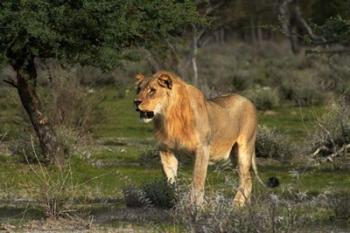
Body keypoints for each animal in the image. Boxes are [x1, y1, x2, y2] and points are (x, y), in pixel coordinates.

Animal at [134, 70, 266, 206]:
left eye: (152, 90)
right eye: (138, 89)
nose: (136, 102)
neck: (168, 117)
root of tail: (248, 100)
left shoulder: (202, 148)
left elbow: (198, 180)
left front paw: (196, 205)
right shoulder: (166, 151)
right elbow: (170, 181)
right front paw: (174, 201)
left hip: (244, 148)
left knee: (246, 179)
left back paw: (237, 203)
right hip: (234, 155)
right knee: (248, 179)